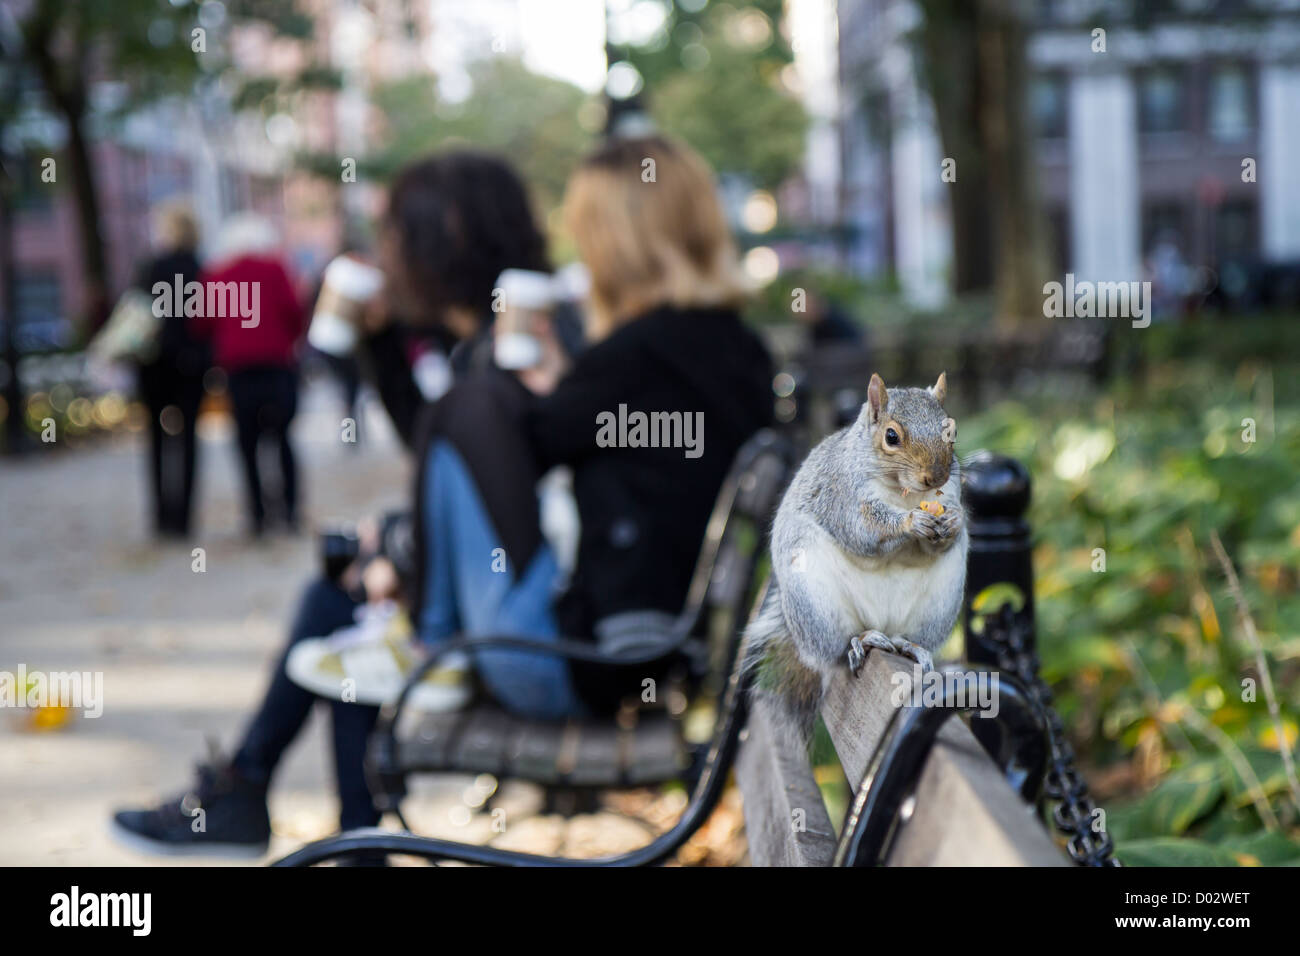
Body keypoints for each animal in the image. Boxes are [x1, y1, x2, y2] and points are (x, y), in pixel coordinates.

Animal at [745, 372, 968, 747]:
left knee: (905, 636)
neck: (904, 494)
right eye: (891, 436)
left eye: (950, 430)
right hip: (817, 604)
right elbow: (863, 529)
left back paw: (908, 646)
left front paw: (953, 522)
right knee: (834, 651)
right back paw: (861, 640)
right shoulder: (842, 494)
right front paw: (910, 522)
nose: (936, 476)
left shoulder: (949, 494)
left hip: (938, 606)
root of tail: (882, 623)